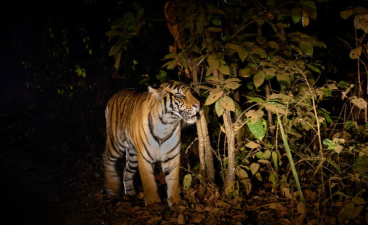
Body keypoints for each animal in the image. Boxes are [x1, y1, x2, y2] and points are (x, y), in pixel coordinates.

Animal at [103, 80, 200, 208]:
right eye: (180, 95)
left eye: (190, 93)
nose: (198, 105)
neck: (166, 124)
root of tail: (114, 95)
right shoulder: (144, 157)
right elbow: (148, 181)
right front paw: (153, 203)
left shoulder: (172, 156)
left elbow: (173, 180)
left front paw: (176, 202)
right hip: (116, 143)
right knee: (107, 159)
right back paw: (113, 187)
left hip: (133, 155)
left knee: (126, 171)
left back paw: (130, 194)